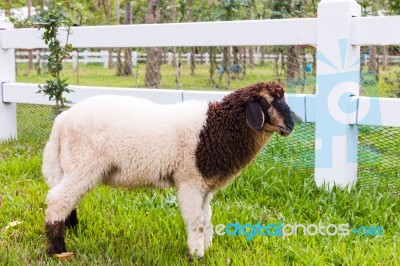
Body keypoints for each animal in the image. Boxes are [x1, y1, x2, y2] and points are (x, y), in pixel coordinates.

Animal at [43, 80, 294, 258]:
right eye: (268, 102)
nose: (291, 125)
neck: (214, 127)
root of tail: (61, 121)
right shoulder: (189, 180)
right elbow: (195, 220)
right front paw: (197, 255)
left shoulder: (205, 185)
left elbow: (206, 218)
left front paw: (207, 248)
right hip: (83, 163)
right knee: (57, 199)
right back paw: (58, 250)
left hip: (75, 166)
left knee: (67, 199)